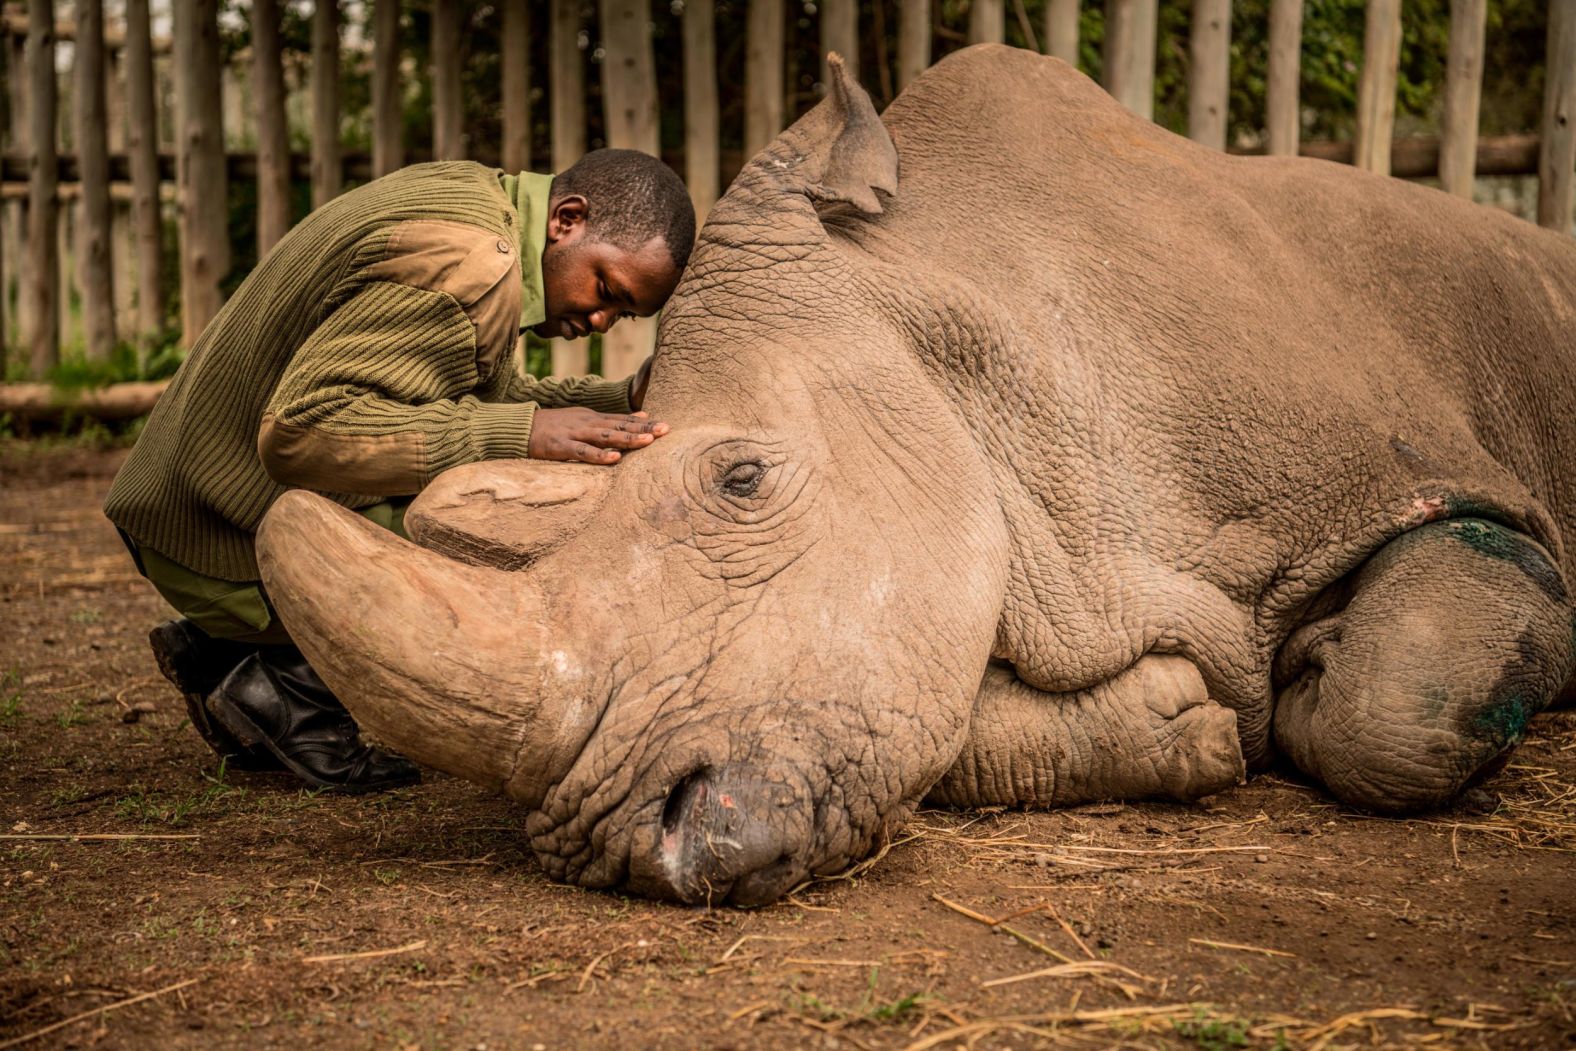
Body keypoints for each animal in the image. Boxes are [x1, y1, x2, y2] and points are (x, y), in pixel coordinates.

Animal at [255, 47, 1576, 907]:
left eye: (743, 479)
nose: (630, 847)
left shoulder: (1426, 486)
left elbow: (1394, 706)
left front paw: (1310, 677)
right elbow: (937, 724)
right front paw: (1190, 724)